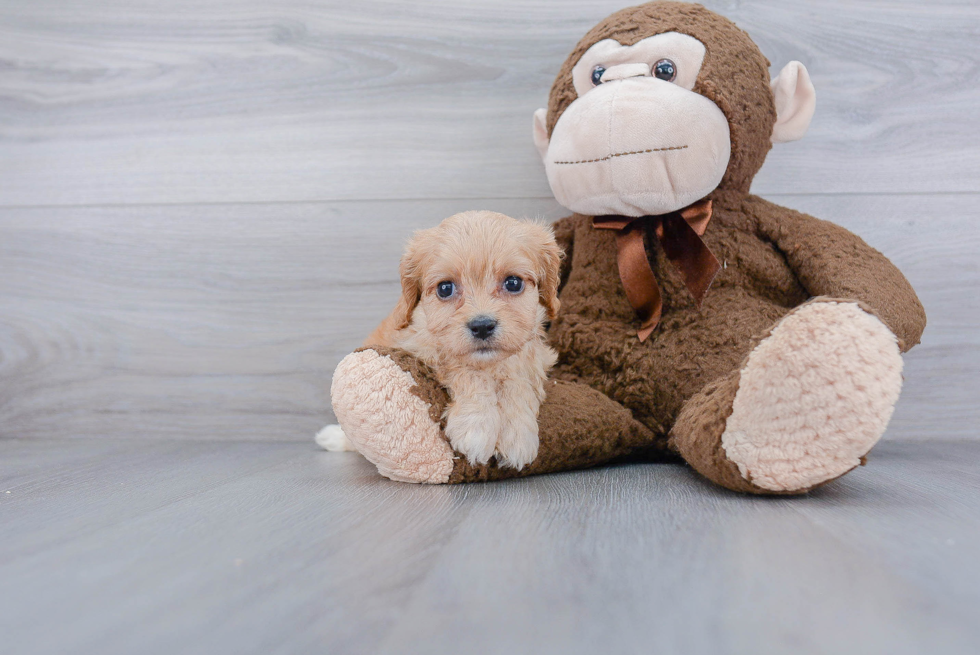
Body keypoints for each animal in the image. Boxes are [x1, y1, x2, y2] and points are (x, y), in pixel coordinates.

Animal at [324, 211, 560, 472]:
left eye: (513, 283)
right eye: (445, 288)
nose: (482, 326)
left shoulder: (535, 355)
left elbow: (518, 378)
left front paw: (517, 434)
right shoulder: (422, 347)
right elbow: (465, 369)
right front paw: (476, 426)